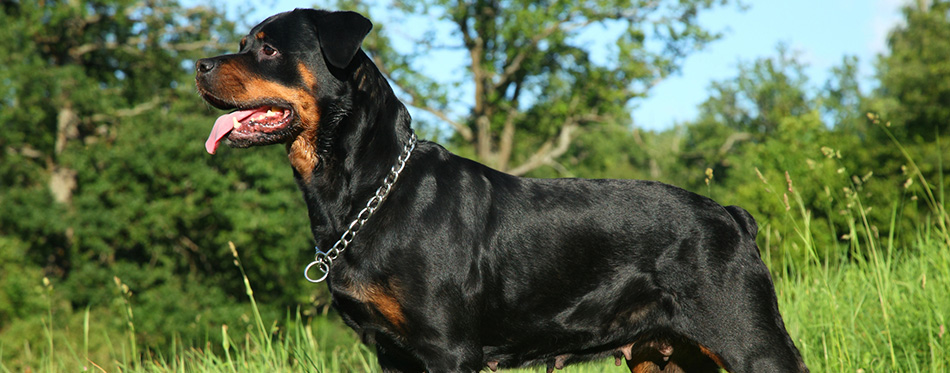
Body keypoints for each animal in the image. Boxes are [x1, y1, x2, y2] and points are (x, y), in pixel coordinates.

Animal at [195, 8, 812, 372]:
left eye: (268, 49)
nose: (198, 64)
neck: (368, 191)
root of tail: (731, 216)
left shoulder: (449, 350)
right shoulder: (393, 355)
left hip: (749, 341)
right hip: (669, 356)